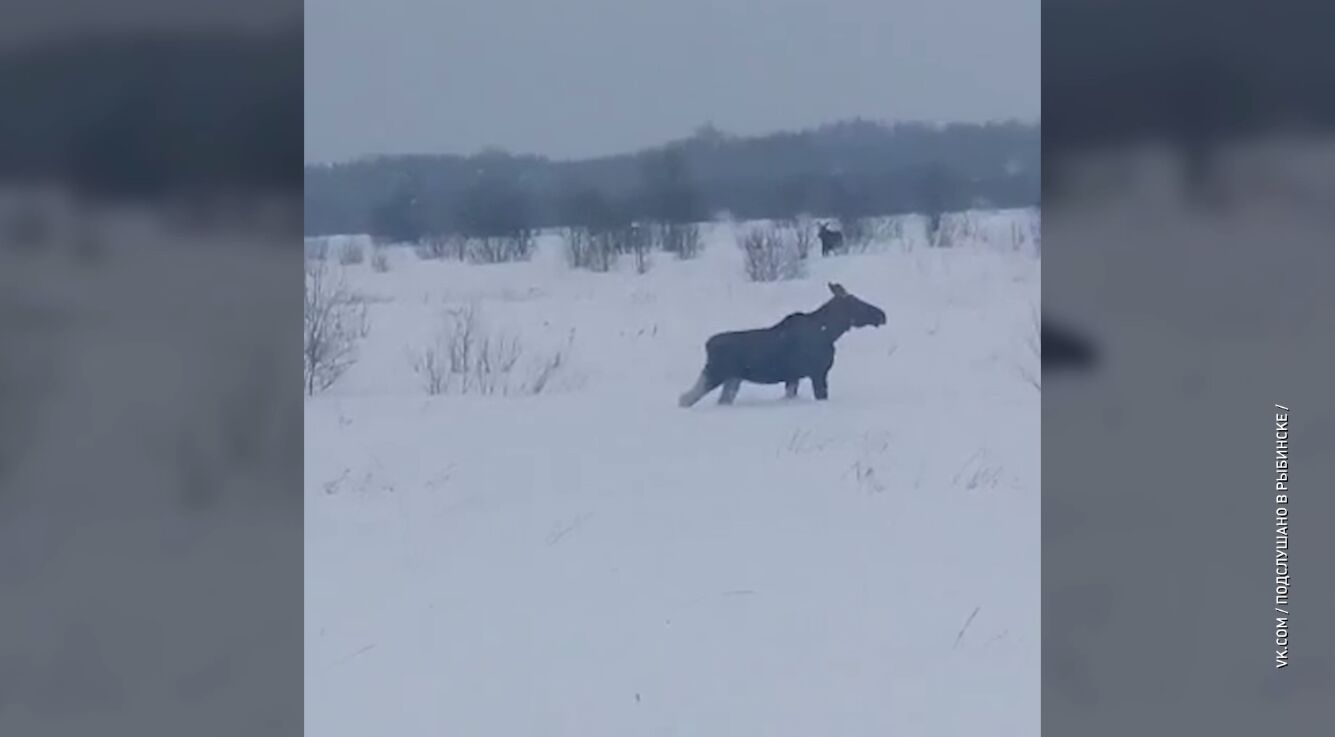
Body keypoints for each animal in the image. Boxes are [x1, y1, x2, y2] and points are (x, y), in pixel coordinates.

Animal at [678, 283, 886, 408]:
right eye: (856, 302)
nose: (882, 315)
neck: (831, 333)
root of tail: (707, 344)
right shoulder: (818, 373)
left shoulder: (793, 377)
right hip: (715, 373)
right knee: (685, 398)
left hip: (732, 379)